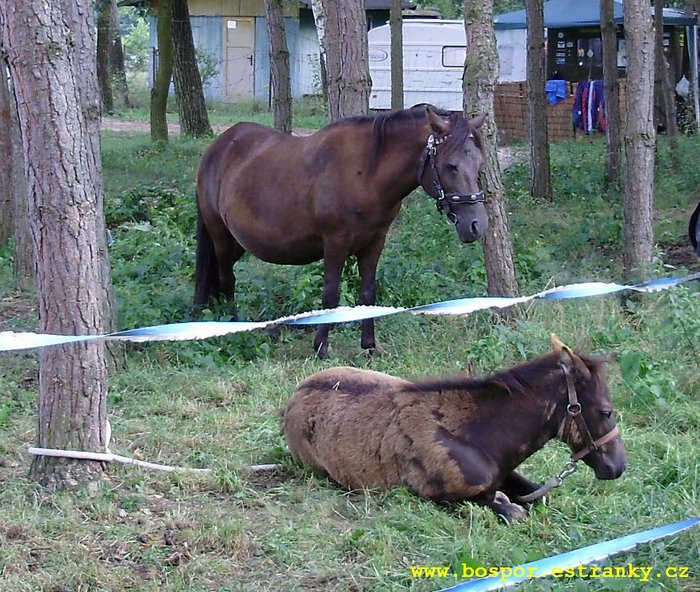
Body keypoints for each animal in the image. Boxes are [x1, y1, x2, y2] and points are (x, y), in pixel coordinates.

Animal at [191, 104, 486, 356]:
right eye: (451, 166)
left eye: (479, 164)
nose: (477, 225)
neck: (366, 173)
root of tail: (217, 147)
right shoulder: (335, 244)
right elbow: (330, 294)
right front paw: (322, 346)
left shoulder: (374, 243)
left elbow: (368, 293)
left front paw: (369, 346)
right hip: (219, 233)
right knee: (227, 280)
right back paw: (232, 325)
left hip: (237, 242)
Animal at [284, 338, 628, 524]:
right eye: (606, 411)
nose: (618, 466)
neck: (478, 438)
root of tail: (293, 397)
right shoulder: (443, 497)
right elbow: (513, 511)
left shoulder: (505, 474)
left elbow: (538, 496)